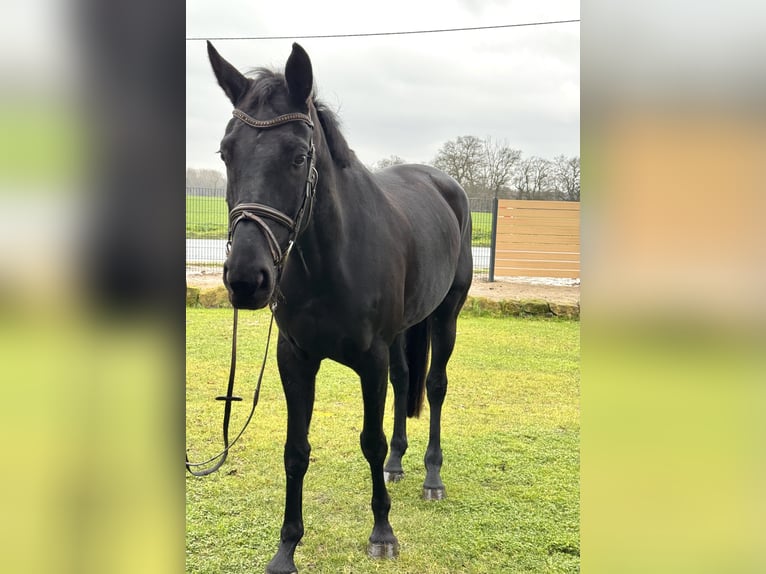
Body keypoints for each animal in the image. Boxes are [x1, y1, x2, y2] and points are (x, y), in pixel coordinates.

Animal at [207, 42, 476, 572]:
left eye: (298, 156)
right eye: (226, 152)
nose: (246, 280)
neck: (330, 262)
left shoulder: (369, 360)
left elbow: (369, 440)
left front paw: (383, 533)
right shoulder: (295, 358)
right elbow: (296, 450)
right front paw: (286, 548)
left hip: (446, 316)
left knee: (434, 387)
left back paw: (432, 477)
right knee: (404, 382)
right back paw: (397, 465)